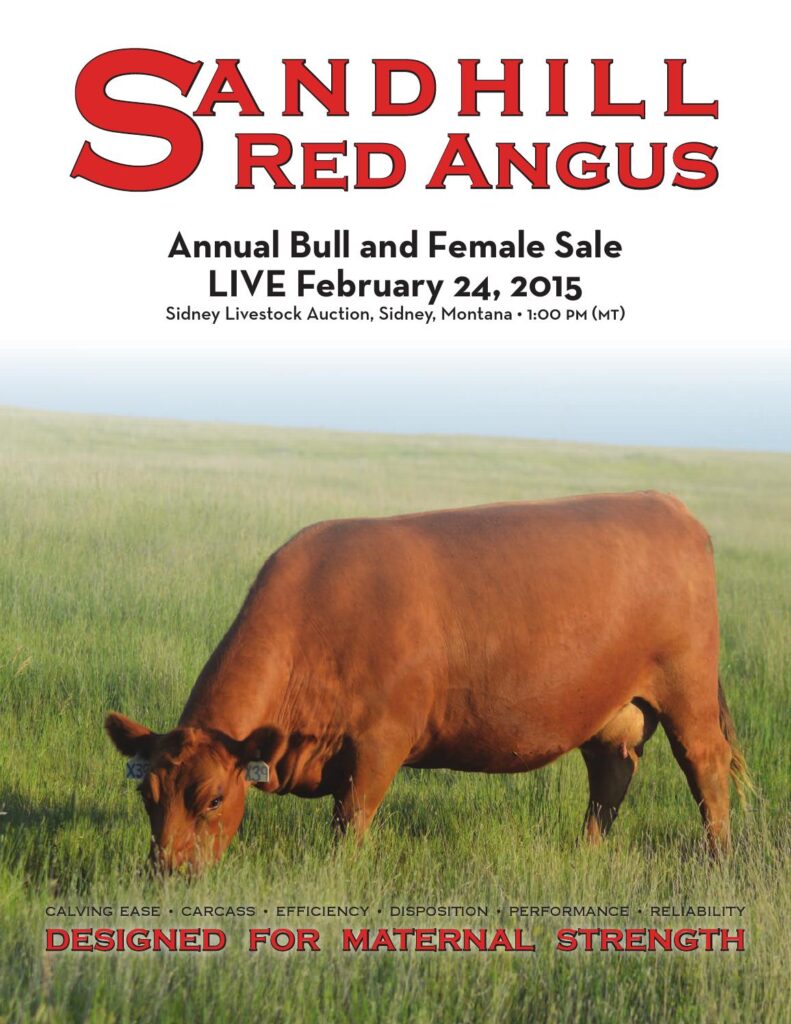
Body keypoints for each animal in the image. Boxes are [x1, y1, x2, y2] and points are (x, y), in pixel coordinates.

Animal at [105, 491, 750, 873]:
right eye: (147, 795)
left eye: (214, 798)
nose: (167, 873)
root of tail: (664, 503)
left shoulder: (378, 745)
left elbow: (349, 824)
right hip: (611, 710)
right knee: (611, 777)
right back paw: (586, 854)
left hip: (687, 688)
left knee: (704, 767)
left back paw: (718, 858)